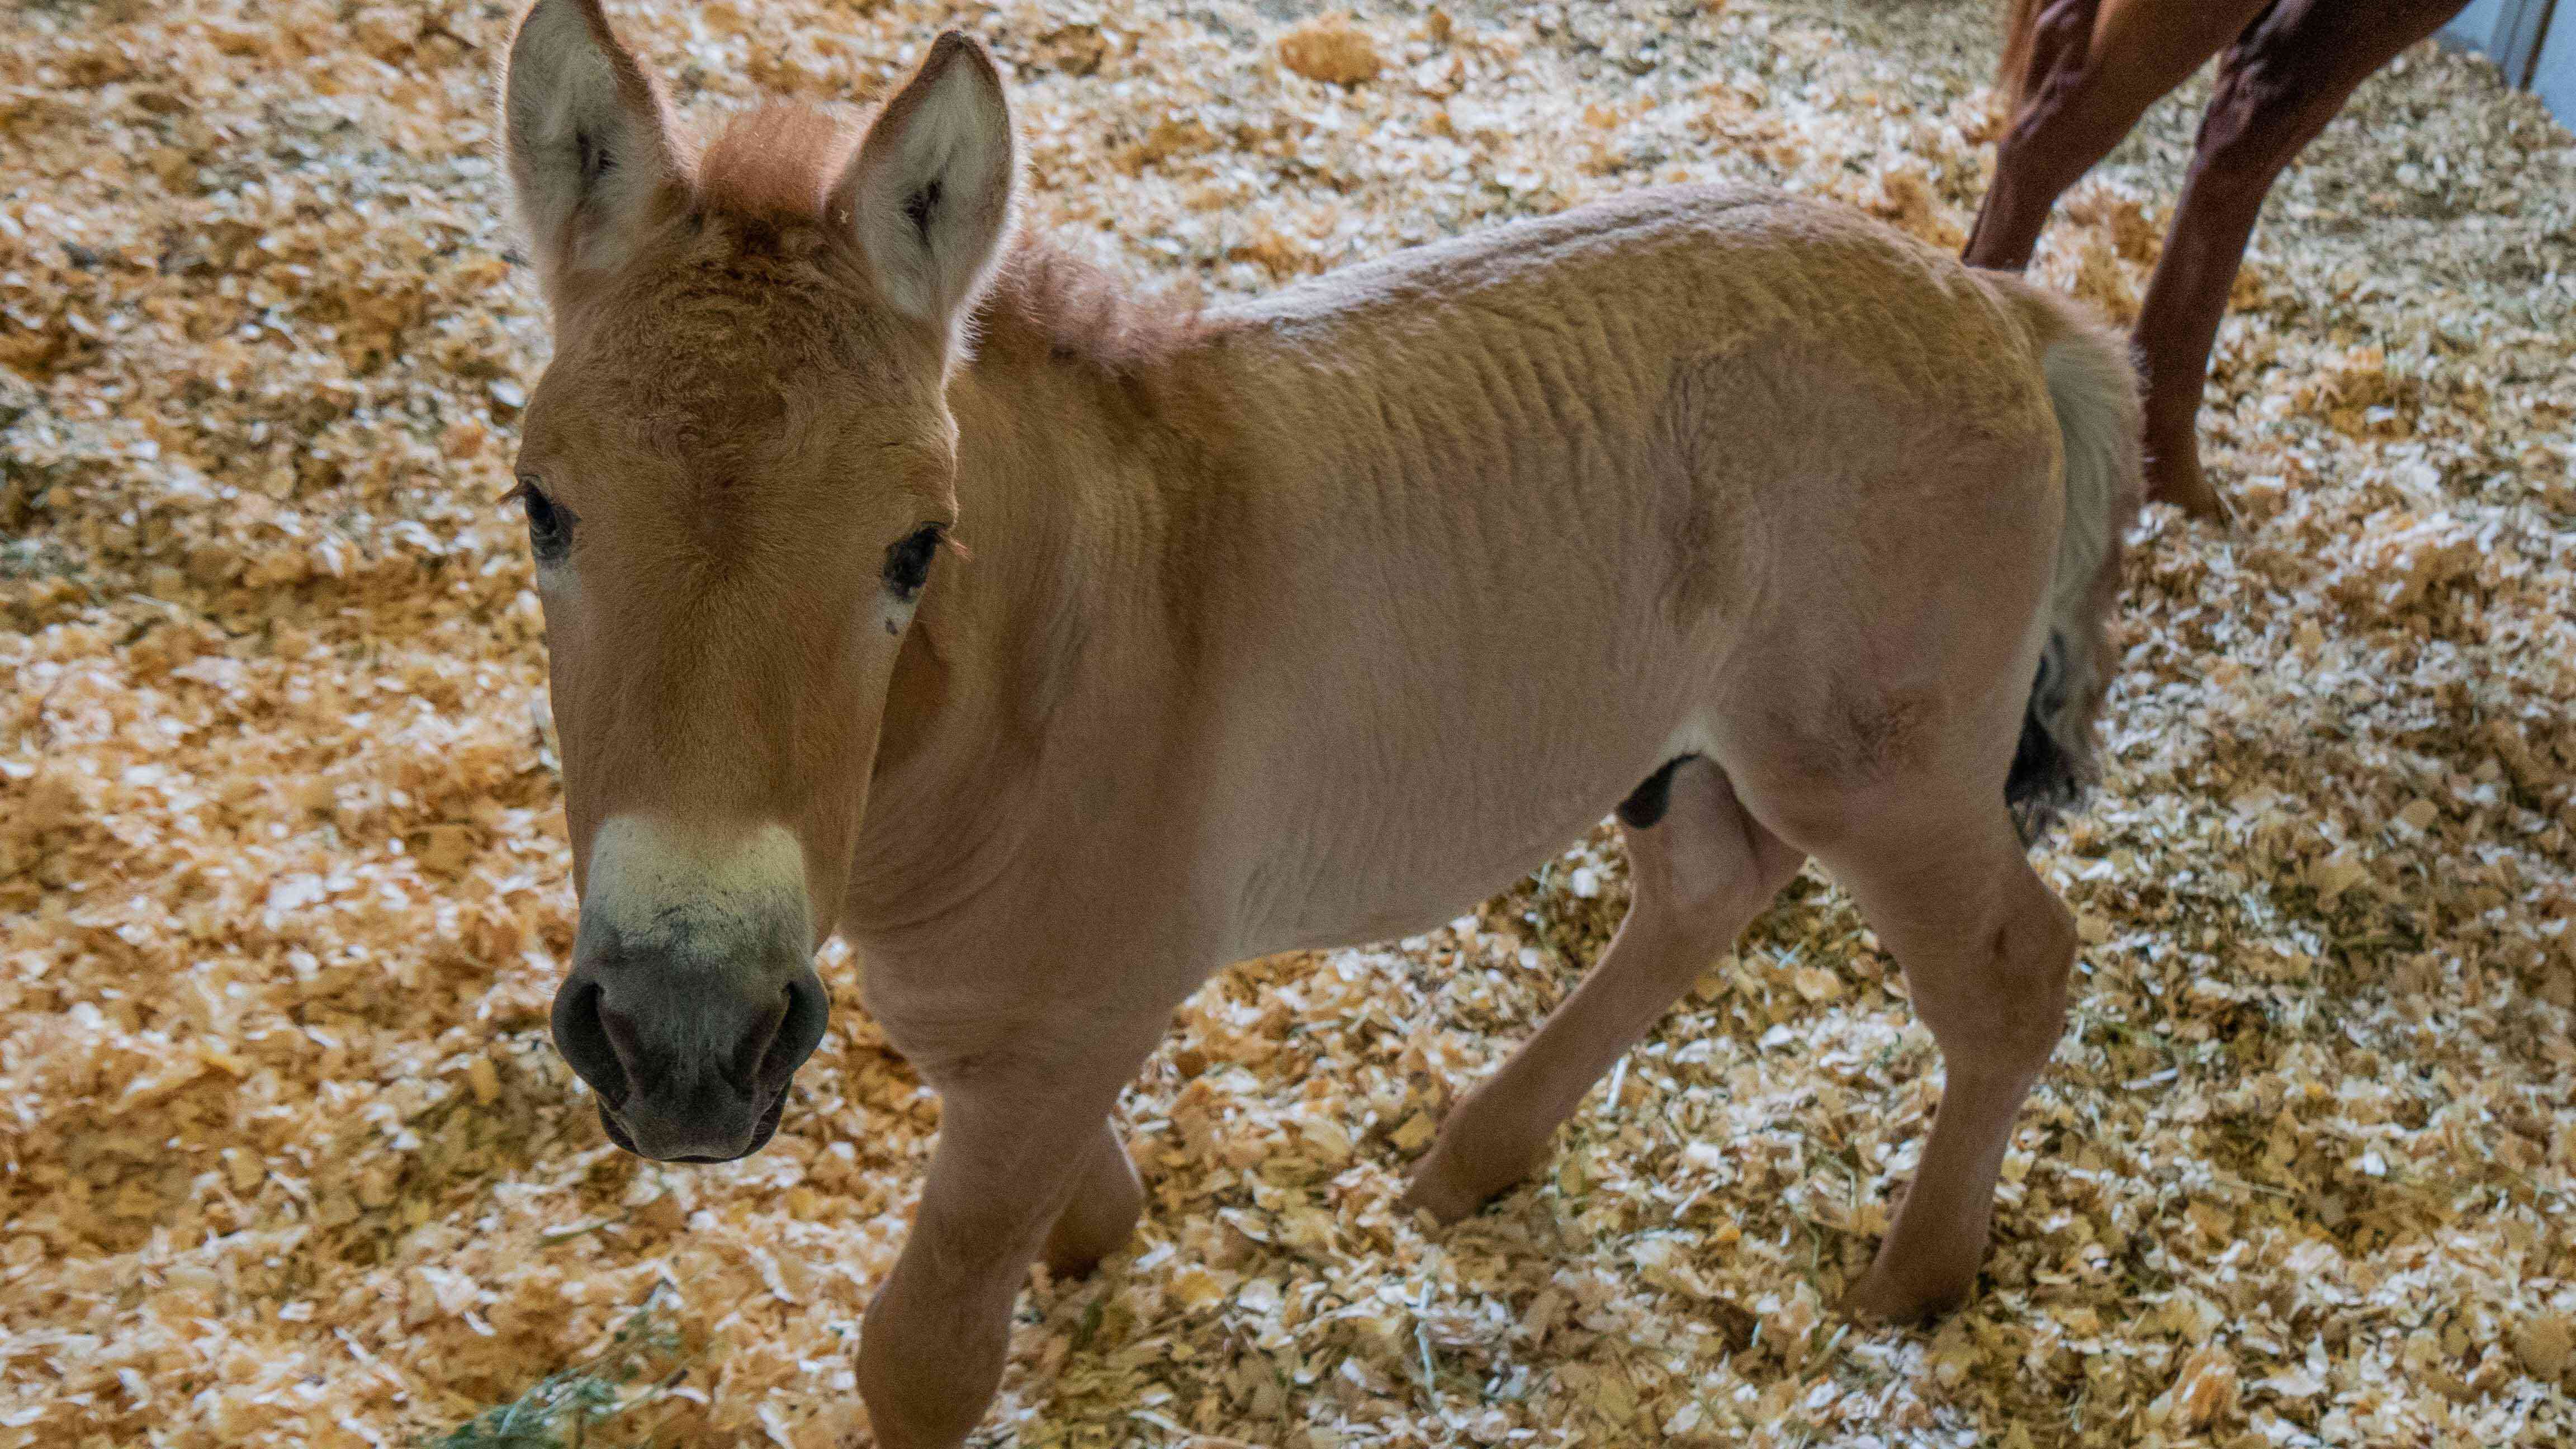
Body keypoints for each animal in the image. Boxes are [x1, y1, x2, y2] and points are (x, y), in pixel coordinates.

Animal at [497, 6, 2133, 1433]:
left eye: (914, 547)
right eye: (541, 508)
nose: (680, 1039)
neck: (1055, 664)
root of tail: (1996, 307)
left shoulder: (1071, 1028)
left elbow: (927, 1356)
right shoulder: (989, 1019)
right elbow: (1063, 1189)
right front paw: (1104, 1241)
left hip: (1881, 773)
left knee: (2009, 972)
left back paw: (1913, 1283)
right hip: (1684, 748)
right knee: (1707, 888)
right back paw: (1474, 1161)